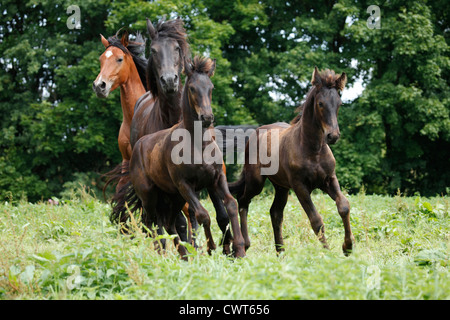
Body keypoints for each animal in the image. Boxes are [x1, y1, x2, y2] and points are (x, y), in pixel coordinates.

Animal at [121, 56, 244, 258]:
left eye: (211, 87)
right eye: (192, 88)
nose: (207, 117)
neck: (199, 144)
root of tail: (137, 147)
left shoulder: (217, 178)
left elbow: (231, 205)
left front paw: (239, 249)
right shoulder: (185, 185)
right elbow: (203, 215)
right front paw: (210, 247)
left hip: (172, 197)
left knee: (169, 223)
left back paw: (184, 255)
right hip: (149, 196)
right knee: (151, 222)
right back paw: (162, 254)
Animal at [230, 67, 354, 255]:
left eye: (339, 104)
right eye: (320, 104)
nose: (333, 136)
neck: (313, 149)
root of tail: (256, 133)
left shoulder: (329, 179)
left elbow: (344, 206)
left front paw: (348, 247)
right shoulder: (300, 186)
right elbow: (316, 220)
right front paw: (328, 253)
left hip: (281, 187)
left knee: (275, 213)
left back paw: (280, 252)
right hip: (256, 182)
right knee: (243, 200)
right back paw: (245, 244)